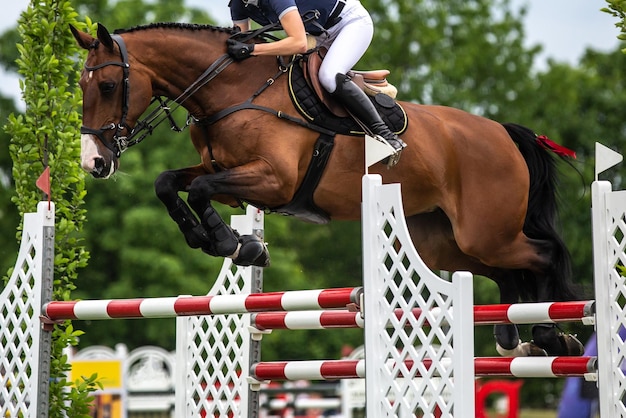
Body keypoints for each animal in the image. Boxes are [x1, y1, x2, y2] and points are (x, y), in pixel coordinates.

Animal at [70, 22, 584, 356]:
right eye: (80, 85)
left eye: (109, 85)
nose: (94, 162)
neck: (233, 89)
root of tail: (503, 132)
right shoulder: (229, 180)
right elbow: (170, 184)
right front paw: (221, 240)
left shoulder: (273, 180)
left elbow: (198, 192)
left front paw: (238, 245)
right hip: (446, 241)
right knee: (505, 270)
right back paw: (517, 334)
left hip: (486, 231)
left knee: (542, 255)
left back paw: (552, 334)